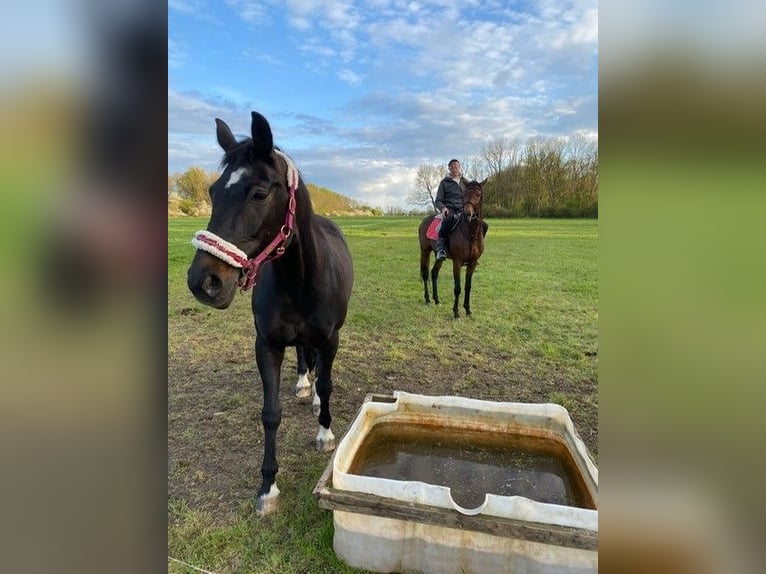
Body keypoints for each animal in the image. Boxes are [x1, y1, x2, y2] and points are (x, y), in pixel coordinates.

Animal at [188, 112, 356, 516]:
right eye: (213, 192)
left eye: (259, 194)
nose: (204, 282)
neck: (299, 279)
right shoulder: (267, 344)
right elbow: (271, 413)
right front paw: (267, 487)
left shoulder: (331, 339)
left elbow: (327, 384)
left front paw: (325, 433)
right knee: (304, 357)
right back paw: (302, 384)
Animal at [420, 180, 486, 320]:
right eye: (464, 194)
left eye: (478, 194)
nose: (467, 213)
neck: (471, 234)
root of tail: (425, 220)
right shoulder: (457, 262)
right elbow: (457, 288)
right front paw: (456, 313)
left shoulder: (472, 263)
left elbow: (468, 287)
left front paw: (468, 310)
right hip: (425, 251)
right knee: (425, 274)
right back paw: (427, 299)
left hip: (438, 256)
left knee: (434, 273)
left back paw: (437, 300)